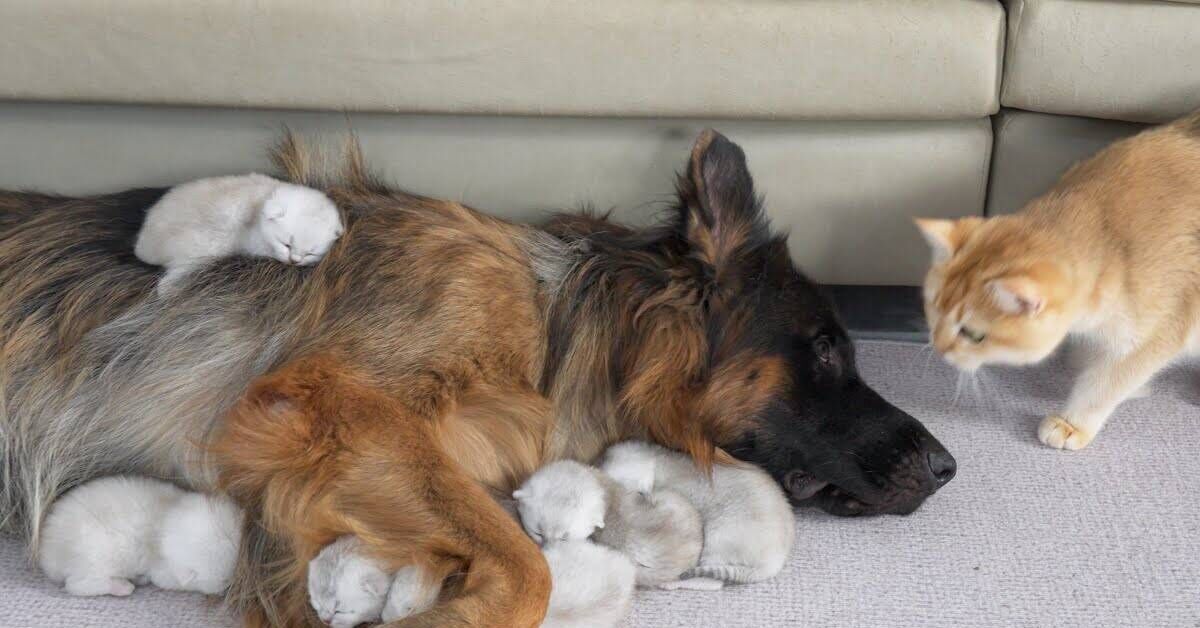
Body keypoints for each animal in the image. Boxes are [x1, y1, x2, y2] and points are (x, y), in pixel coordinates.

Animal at [601, 440, 796, 589]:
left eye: (633, 491)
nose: (644, 495)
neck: (655, 459)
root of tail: (773, 563)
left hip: (717, 539)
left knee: (710, 582)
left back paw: (671, 584)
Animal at [914, 110, 1200, 450]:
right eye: (934, 309)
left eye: (974, 335)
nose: (939, 347)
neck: (1113, 244)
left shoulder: (1155, 335)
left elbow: (1107, 381)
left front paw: (1072, 422)